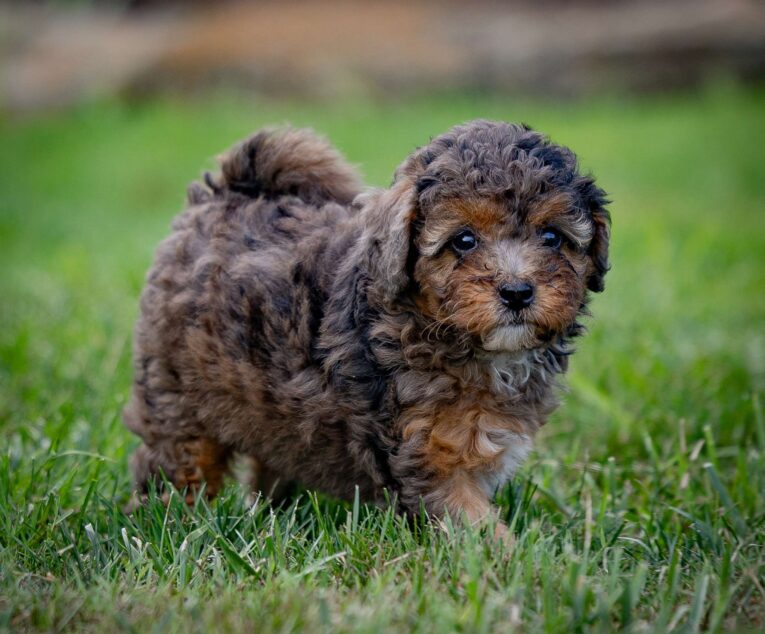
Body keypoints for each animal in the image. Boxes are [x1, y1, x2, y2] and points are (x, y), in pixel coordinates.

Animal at [127, 119, 616, 532]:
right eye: (464, 240)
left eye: (552, 237)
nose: (516, 292)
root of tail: (228, 191)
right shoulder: (427, 457)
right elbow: (473, 524)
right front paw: (506, 562)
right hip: (177, 396)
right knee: (177, 463)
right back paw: (172, 522)